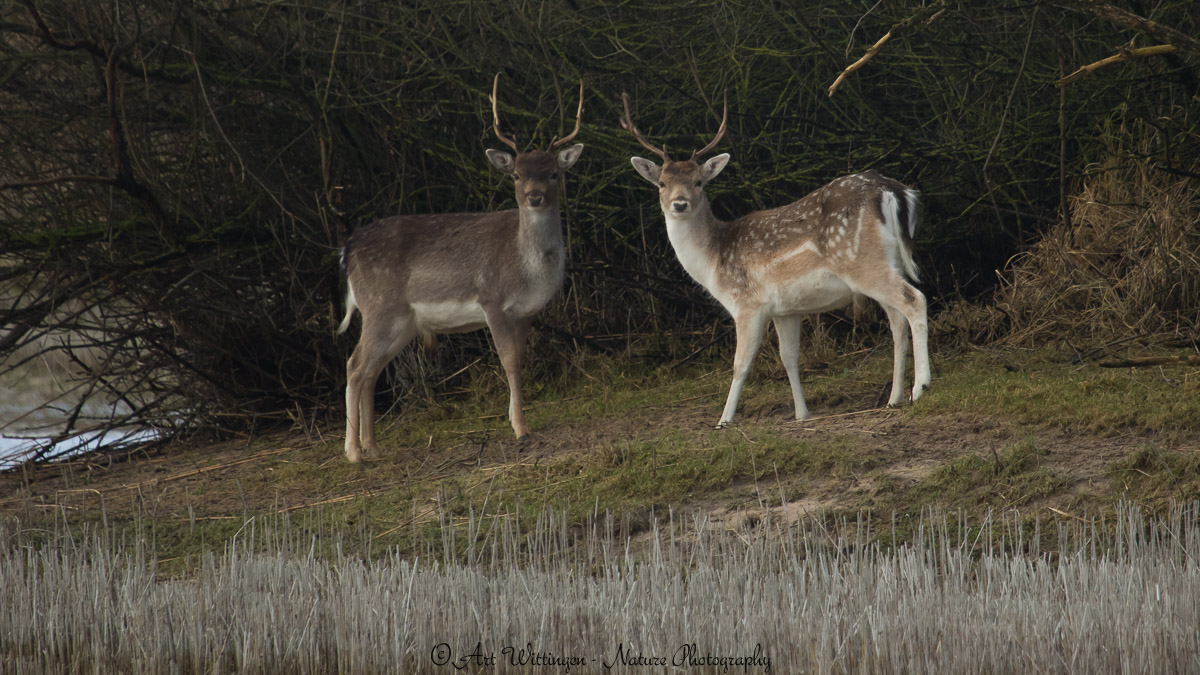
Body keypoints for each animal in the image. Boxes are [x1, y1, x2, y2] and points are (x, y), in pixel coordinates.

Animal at [338, 74, 585, 461]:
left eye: (553, 173)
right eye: (516, 175)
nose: (534, 197)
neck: (526, 269)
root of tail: (348, 250)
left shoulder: (527, 312)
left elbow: (520, 359)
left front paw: (518, 421)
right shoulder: (491, 299)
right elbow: (508, 361)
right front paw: (520, 429)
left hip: (402, 321)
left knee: (372, 370)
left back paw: (373, 448)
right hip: (379, 306)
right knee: (354, 365)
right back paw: (353, 453)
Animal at [624, 90, 931, 425]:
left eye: (699, 182)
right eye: (661, 183)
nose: (679, 204)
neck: (714, 261)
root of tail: (894, 191)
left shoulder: (747, 303)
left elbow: (741, 364)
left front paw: (724, 420)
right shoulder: (786, 310)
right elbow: (789, 357)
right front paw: (801, 414)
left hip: (861, 261)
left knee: (914, 299)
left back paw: (920, 388)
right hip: (887, 263)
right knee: (897, 320)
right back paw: (894, 398)